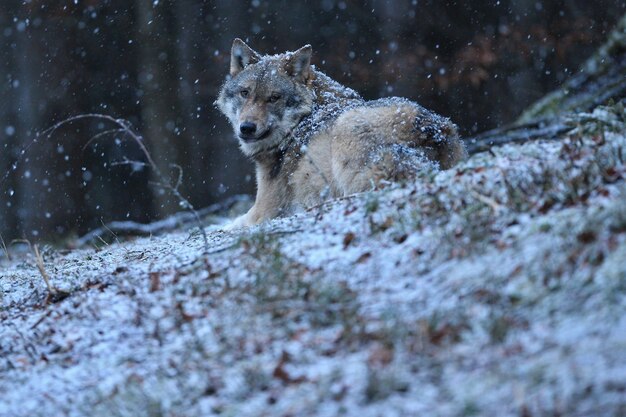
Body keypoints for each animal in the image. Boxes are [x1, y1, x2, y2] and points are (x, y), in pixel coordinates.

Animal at [214, 38, 464, 228]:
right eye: (245, 93)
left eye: (274, 98)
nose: (246, 127)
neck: (302, 119)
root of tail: (434, 132)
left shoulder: (263, 210)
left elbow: (231, 226)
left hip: (347, 126)